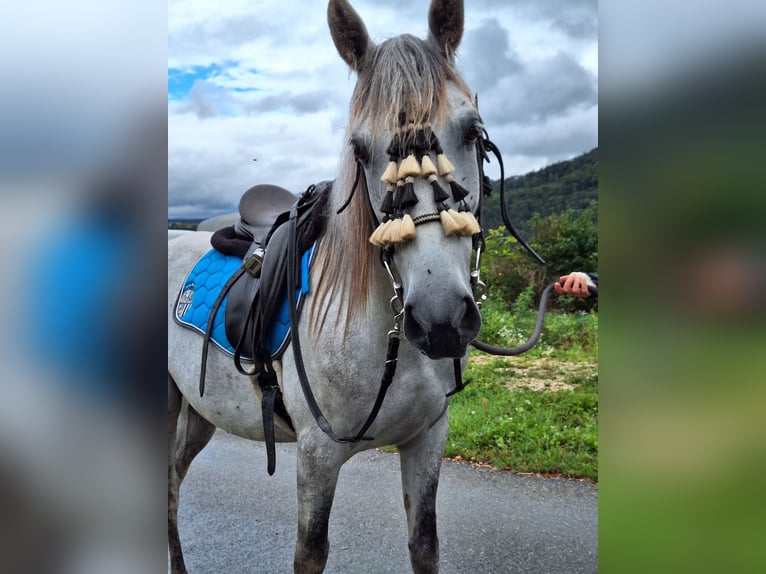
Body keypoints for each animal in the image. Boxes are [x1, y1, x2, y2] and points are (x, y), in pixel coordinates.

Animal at [171, 2, 488, 572]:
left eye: (472, 131)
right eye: (358, 150)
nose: (441, 320)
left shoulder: (427, 440)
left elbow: (424, 545)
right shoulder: (317, 455)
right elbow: (310, 551)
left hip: (197, 412)